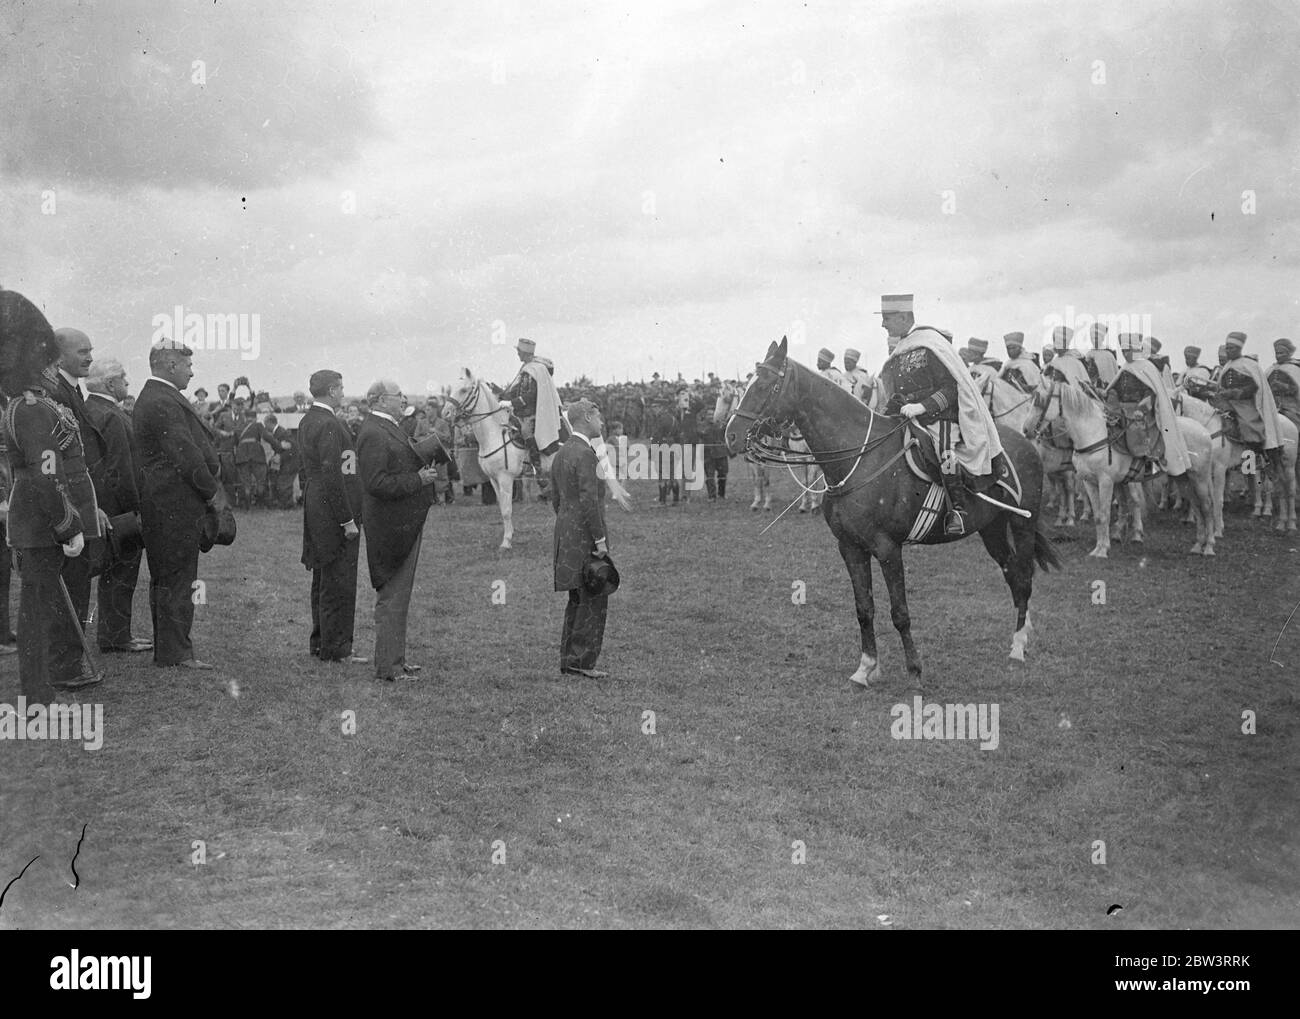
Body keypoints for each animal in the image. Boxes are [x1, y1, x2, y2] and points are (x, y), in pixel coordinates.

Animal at [722, 340, 1055, 686]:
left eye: (764, 384)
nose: (730, 435)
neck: (858, 457)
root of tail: (1025, 441)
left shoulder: (887, 548)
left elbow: (899, 612)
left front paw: (914, 668)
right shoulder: (851, 548)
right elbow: (864, 608)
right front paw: (866, 667)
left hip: (1022, 523)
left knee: (1025, 577)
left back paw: (1018, 646)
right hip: (991, 529)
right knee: (1012, 574)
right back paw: (1021, 635)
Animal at [1034, 369, 1216, 556]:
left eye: (1039, 400)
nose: (1028, 429)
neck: (1093, 435)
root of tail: (1204, 431)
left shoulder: (1106, 481)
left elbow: (1105, 514)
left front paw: (1103, 550)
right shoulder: (1089, 482)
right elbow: (1099, 516)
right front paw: (1099, 547)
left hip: (1199, 477)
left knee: (1207, 507)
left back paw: (1208, 546)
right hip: (1183, 478)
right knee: (1196, 505)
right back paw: (1197, 545)